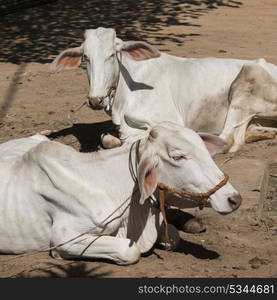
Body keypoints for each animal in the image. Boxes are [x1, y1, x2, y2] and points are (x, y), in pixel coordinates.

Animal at [0, 122, 240, 264]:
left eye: (203, 149)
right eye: (178, 156)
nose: (234, 199)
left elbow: (173, 236)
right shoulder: (65, 239)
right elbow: (130, 251)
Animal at [50, 26, 276, 151]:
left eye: (112, 55)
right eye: (85, 57)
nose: (95, 100)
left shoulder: (169, 118)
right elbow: (106, 138)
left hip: (248, 78)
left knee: (229, 140)